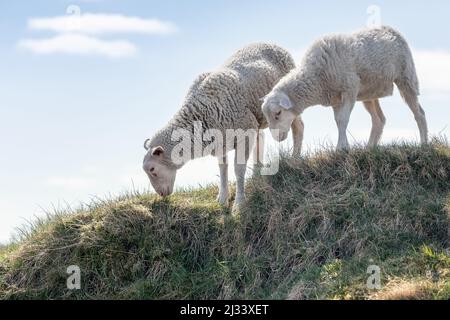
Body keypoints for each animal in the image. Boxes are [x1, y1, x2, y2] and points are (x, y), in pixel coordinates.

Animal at [142, 43, 298, 208]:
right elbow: (223, 169)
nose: (161, 194)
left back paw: (296, 158)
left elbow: (238, 169)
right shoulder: (220, 142)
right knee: (259, 139)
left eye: (152, 169)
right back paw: (257, 176)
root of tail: (268, 42)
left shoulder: (243, 133)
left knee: (298, 127)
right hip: (256, 119)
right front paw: (223, 199)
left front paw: (239, 202)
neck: (200, 115)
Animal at [262, 25, 428, 149]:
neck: (316, 77)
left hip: (406, 76)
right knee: (379, 120)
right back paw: (369, 148)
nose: (277, 138)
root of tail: (388, 28)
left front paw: (341, 147)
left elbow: (342, 119)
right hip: (370, 92)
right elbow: (338, 121)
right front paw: (344, 146)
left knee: (419, 113)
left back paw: (424, 143)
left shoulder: (349, 88)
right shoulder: (335, 98)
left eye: (278, 113)